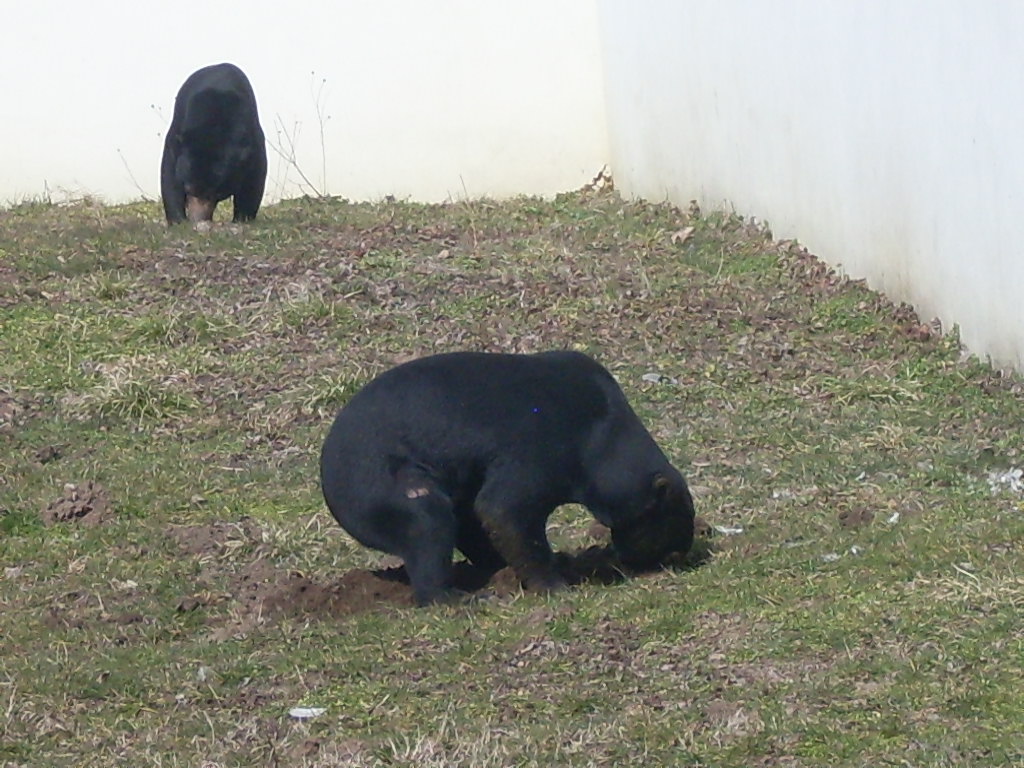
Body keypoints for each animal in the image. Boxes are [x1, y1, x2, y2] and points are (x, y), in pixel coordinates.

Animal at [160, 63, 267, 225]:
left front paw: (242, 218)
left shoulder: (253, 142)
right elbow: (169, 174)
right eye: (188, 188)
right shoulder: (177, 136)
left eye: (216, 194)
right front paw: (177, 220)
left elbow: (254, 180)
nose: (197, 220)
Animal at [319, 350, 696, 605]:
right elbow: (503, 510)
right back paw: (459, 597)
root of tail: (327, 478)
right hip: (385, 484)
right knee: (427, 525)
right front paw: (555, 586)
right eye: (673, 526)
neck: (604, 431)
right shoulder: (542, 447)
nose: (680, 557)